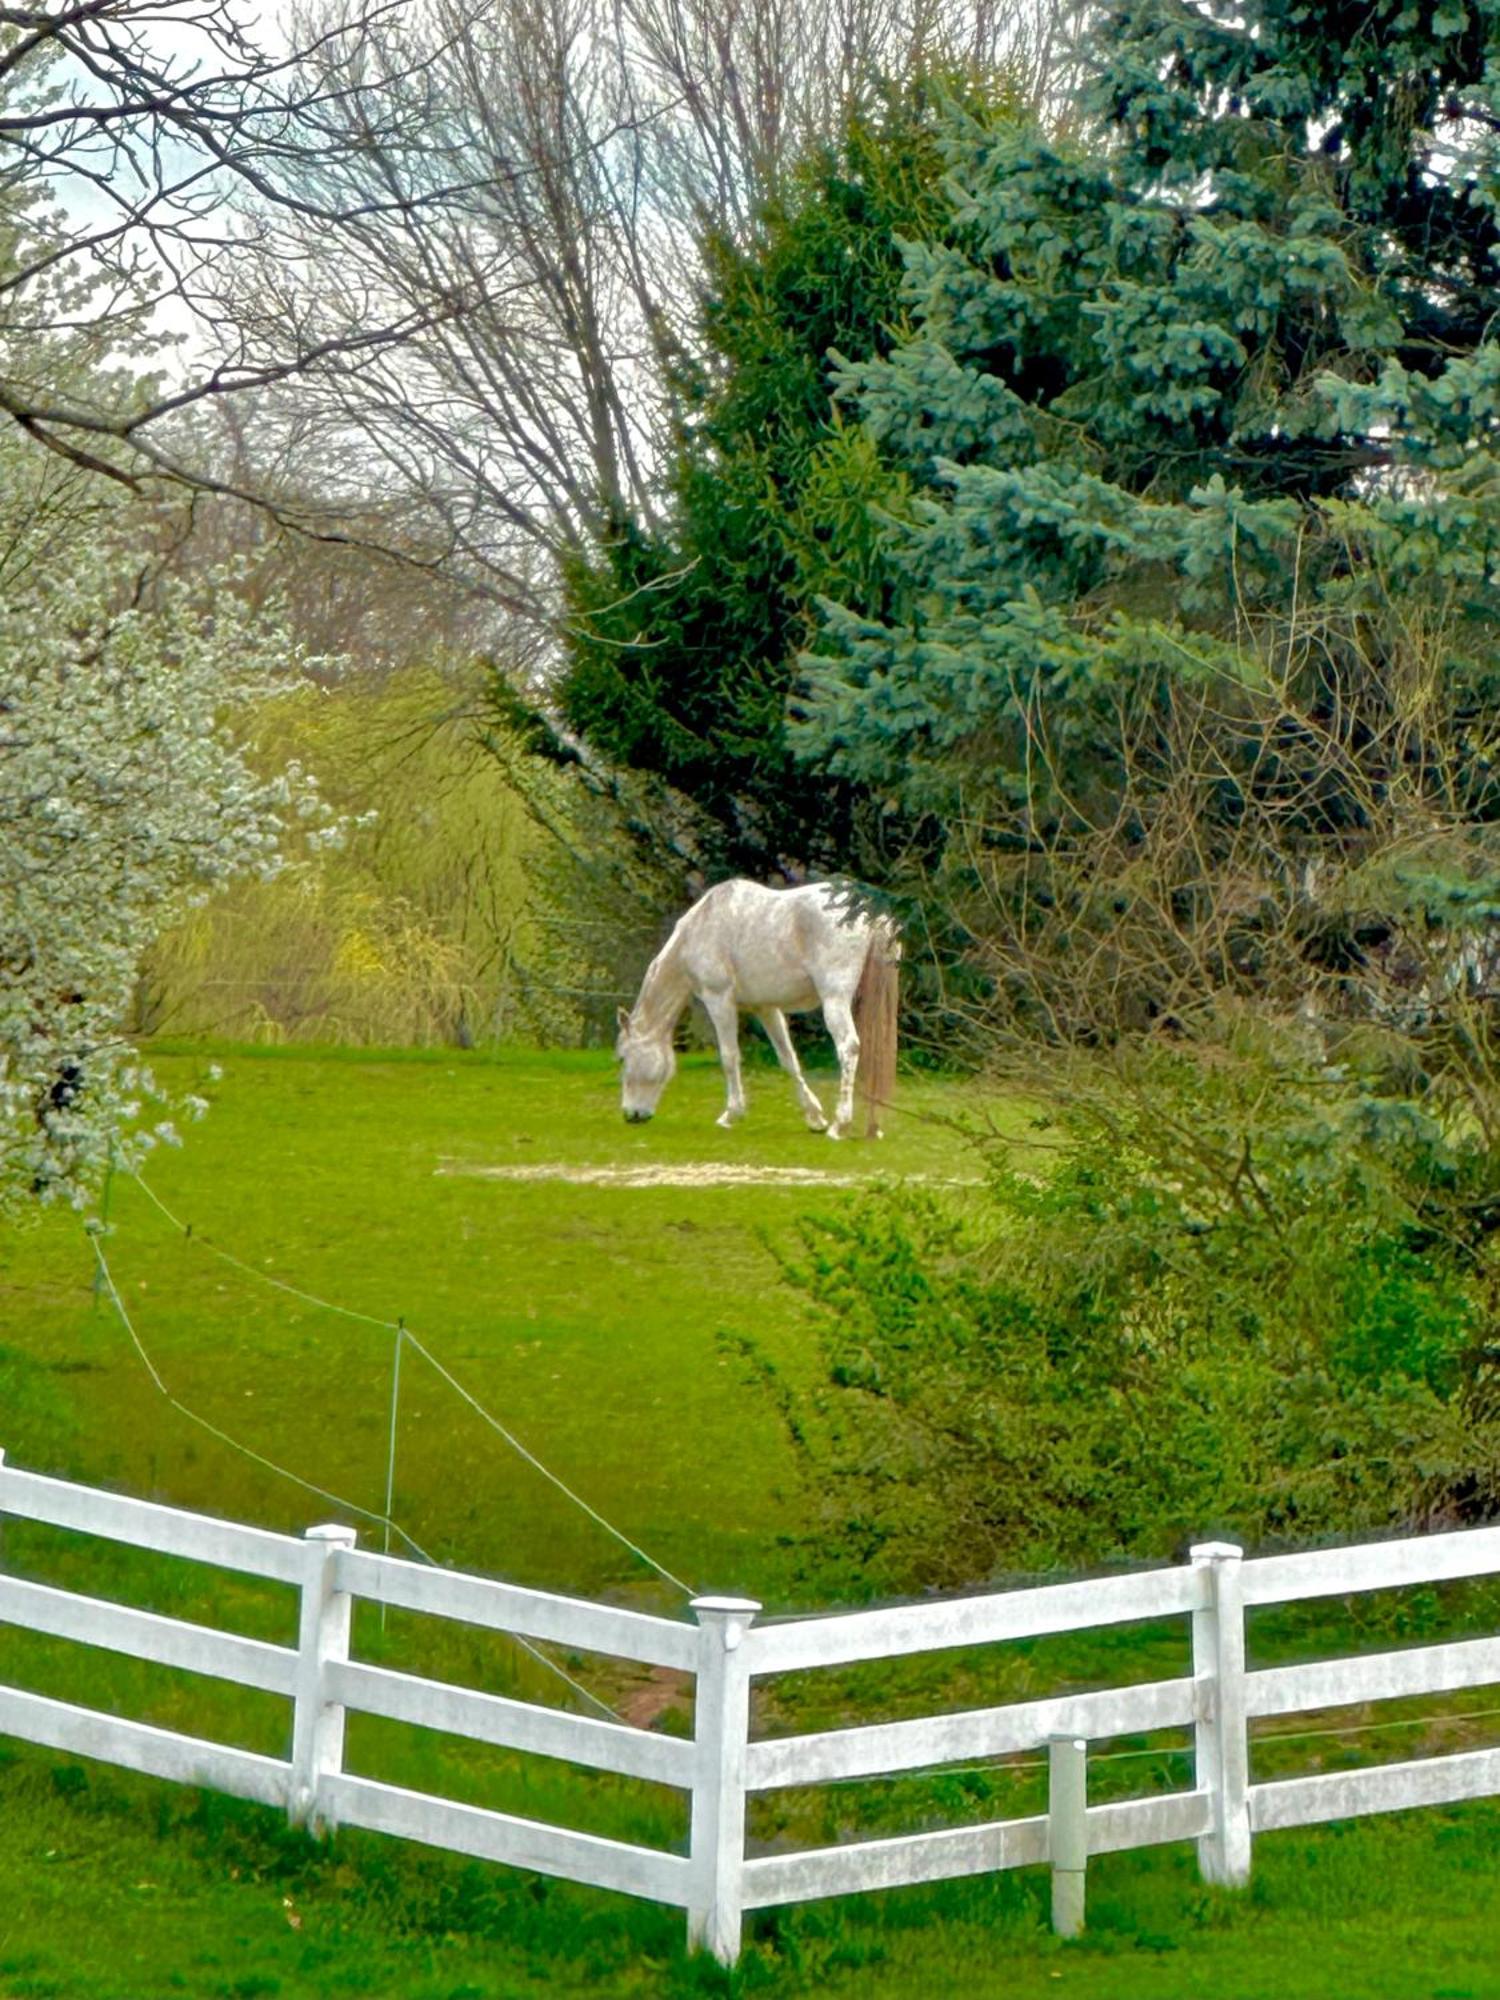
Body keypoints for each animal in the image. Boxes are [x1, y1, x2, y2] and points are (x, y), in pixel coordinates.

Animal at [612, 880, 900, 1144]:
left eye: (623, 1058)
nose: (631, 1115)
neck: (699, 928)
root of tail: (867, 912)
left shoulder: (720, 1001)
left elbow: (729, 1057)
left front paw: (731, 1114)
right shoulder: (767, 1008)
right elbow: (788, 1059)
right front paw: (815, 1118)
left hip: (834, 1000)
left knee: (848, 1048)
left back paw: (841, 1125)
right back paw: (873, 1126)